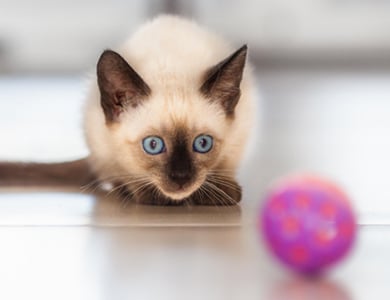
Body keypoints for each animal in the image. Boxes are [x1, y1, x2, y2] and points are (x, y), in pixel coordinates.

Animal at [0, 15, 256, 206]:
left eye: (202, 144)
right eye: (153, 145)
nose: (181, 178)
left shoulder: (239, 136)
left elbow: (224, 167)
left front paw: (220, 191)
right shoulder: (106, 147)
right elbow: (126, 174)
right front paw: (149, 193)